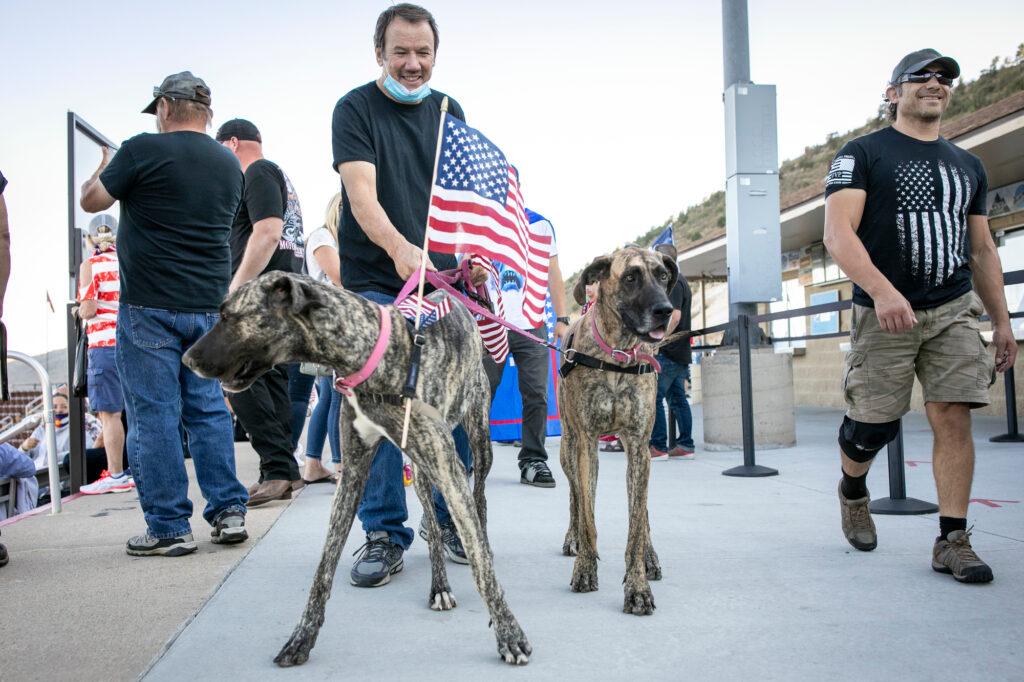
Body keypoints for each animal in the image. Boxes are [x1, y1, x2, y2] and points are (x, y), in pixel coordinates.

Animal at [184, 270, 532, 663]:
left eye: (228, 316)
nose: (187, 359)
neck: (372, 355)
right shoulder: (352, 472)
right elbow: (324, 565)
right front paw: (301, 638)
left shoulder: (449, 468)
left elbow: (483, 568)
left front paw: (509, 634)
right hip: (421, 471)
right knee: (430, 515)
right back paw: (438, 586)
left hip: (476, 436)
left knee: (480, 500)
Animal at [557, 246, 675, 614]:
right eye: (631, 277)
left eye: (663, 276)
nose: (665, 311)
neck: (618, 355)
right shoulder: (586, 444)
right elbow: (588, 517)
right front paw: (585, 567)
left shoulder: (638, 446)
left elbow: (636, 525)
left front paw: (637, 586)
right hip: (568, 447)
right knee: (575, 497)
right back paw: (573, 539)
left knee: (643, 511)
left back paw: (651, 558)